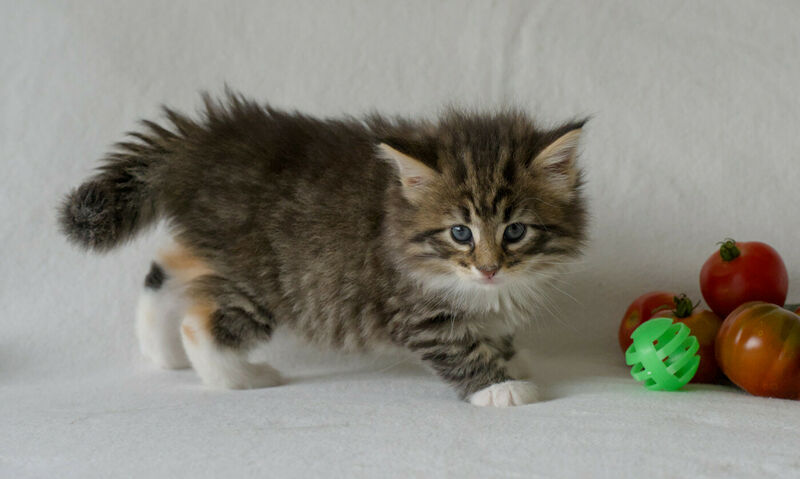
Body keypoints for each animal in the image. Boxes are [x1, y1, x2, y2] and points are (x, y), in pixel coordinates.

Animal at [57, 94, 588, 408]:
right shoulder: (416, 309)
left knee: (166, 267)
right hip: (262, 281)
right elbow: (459, 347)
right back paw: (238, 376)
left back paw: (160, 350)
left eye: (515, 231)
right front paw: (500, 387)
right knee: (199, 320)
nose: (489, 269)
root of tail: (205, 141)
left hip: (215, 250)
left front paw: (510, 358)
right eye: (460, 233)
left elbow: (494, 330)